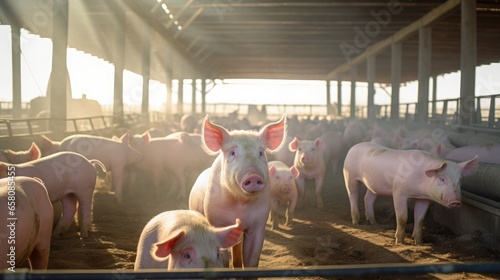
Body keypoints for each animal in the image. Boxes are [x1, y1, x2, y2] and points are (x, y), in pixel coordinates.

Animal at [189, 114, 288, 270]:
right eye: (233, 153)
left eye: (261, 153)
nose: (253, 175)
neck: (240, 205)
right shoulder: (216, 220)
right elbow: (223, 260)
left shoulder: (258, 223)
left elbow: (252, 260)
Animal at [342, 142, 478, 245]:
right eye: (442, 179)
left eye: (460, 180)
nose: (456, 201)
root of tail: (354, 146)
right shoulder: (398, 191)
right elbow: (403, 217)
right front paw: (400, 242)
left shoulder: (424, 199)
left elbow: (420, 219)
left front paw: (419, 243)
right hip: (349, 176)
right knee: (352, 195)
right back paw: (356, 222)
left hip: (374, 184)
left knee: (368, 198)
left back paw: (373, 222)